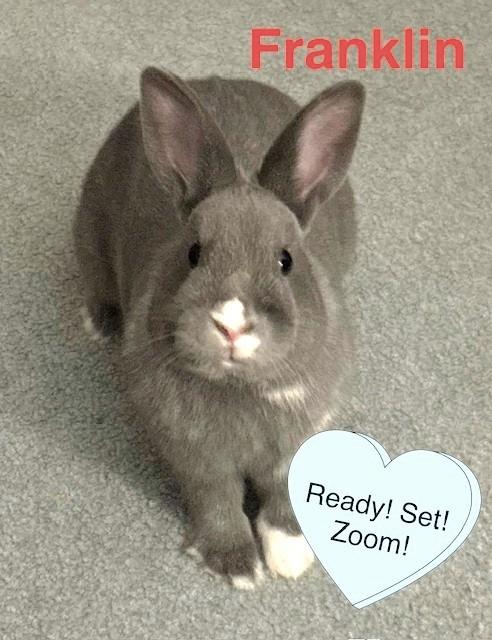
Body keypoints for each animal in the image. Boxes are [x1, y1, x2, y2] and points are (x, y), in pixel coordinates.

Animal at [73, 67, 365, 589]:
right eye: (193, 253)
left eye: (286, 260)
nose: (231, 324)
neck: (239, 388)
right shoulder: (196, 458)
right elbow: (218, 502)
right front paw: (238, 567)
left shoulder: (296, 441)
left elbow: (281, 496)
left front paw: (290, 558)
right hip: (90, 226)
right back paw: (102, 323)